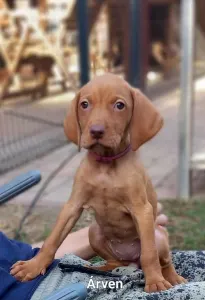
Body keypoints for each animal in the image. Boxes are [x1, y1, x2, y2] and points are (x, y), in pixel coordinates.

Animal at [11, 74, 187, 292]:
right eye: (85, 104)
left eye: (119, 105)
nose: (96, 131)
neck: (106, 165)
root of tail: (131, 260)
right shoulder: (73, 205)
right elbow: (52, 240)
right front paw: (34, 266)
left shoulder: (142, 210)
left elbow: (149, 253)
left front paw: (154, 281)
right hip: (94, 231)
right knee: (115, 262)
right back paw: (101, 268)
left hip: (159, 234)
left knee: (163, 260)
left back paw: (172, 277)